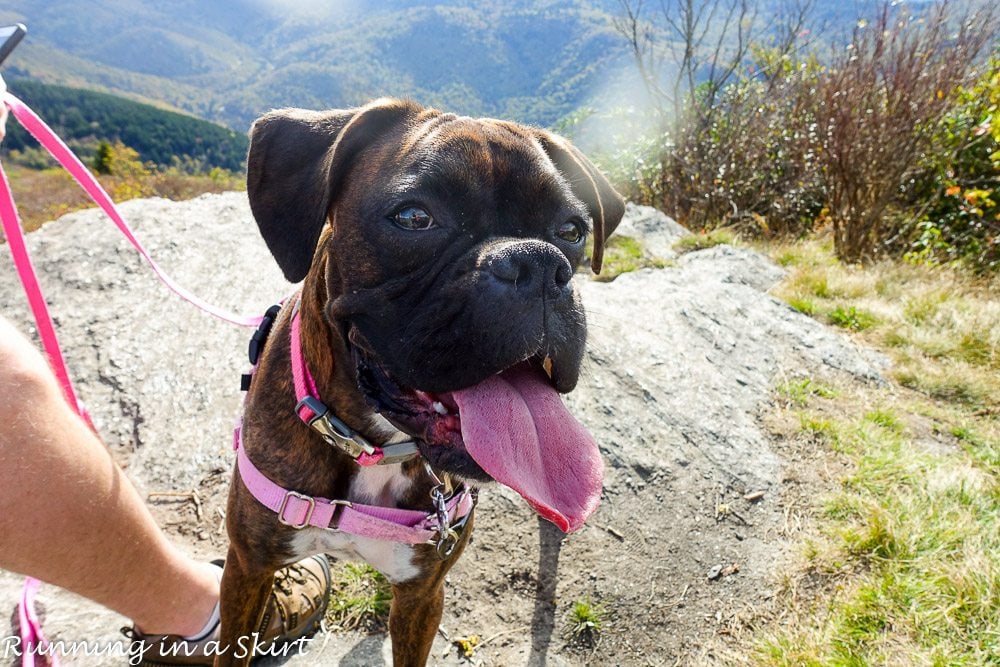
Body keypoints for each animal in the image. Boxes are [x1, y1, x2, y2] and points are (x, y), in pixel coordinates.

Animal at [223, 99, 620, 667]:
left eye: (571, 230)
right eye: (414, 218)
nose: (539, 263)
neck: (372, 448)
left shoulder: (422, 595)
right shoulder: (248, 569)